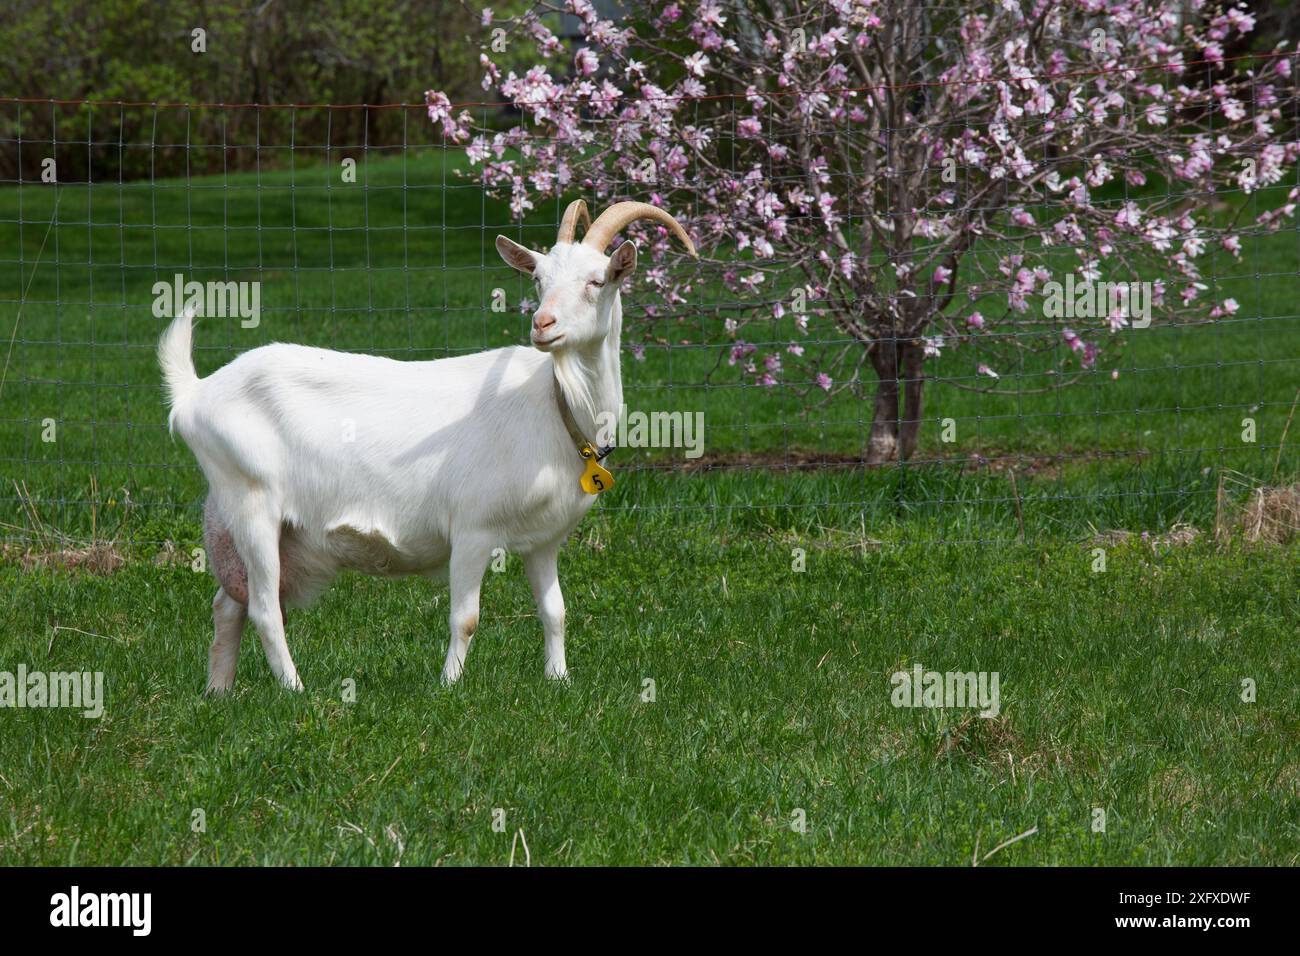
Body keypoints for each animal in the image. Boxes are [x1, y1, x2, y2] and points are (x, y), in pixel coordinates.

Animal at [161, 204, 696, 697]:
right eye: (538, 279)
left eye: (597, 280)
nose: (543, 324)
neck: (557, 404)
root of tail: (195, 393)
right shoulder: (473, 528)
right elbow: (467, 618)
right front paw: (449, 687)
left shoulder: (544, 539)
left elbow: (555, 611)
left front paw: (559, 681)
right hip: (252, 502)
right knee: (265, 609)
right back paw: (296, 691)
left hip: (238, 519)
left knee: (229, 603)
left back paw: (219, 691)